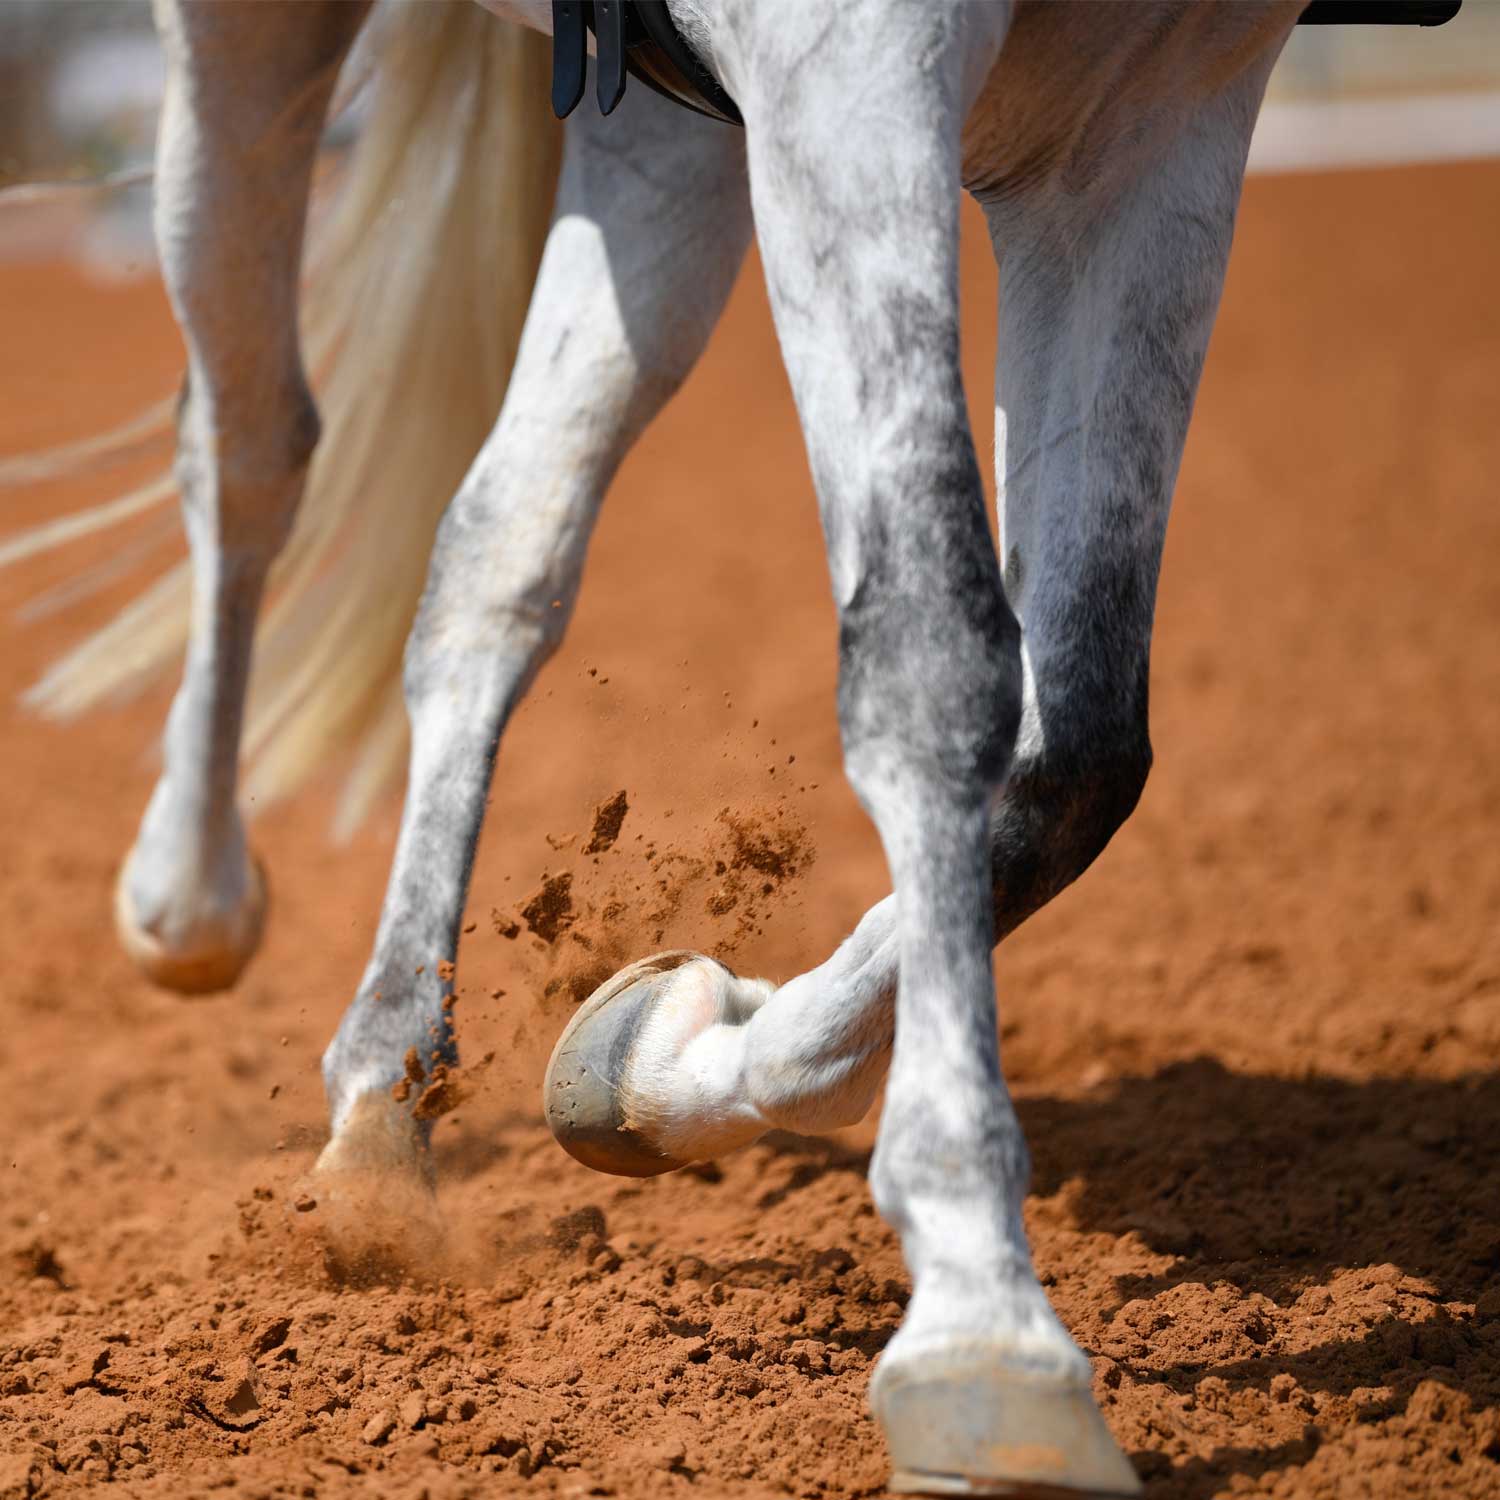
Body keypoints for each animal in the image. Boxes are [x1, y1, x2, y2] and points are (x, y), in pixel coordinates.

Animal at [5, 0, 1415, 1493]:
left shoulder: (1156, 111)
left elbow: (1079, 752)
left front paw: (660, 1056)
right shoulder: (851, 72)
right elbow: (932, 653)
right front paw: (985, 1332)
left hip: (656, 137)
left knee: (499, 543)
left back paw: (383, 1112)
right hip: (250, 43)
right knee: (251, 441)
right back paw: (196, 904)